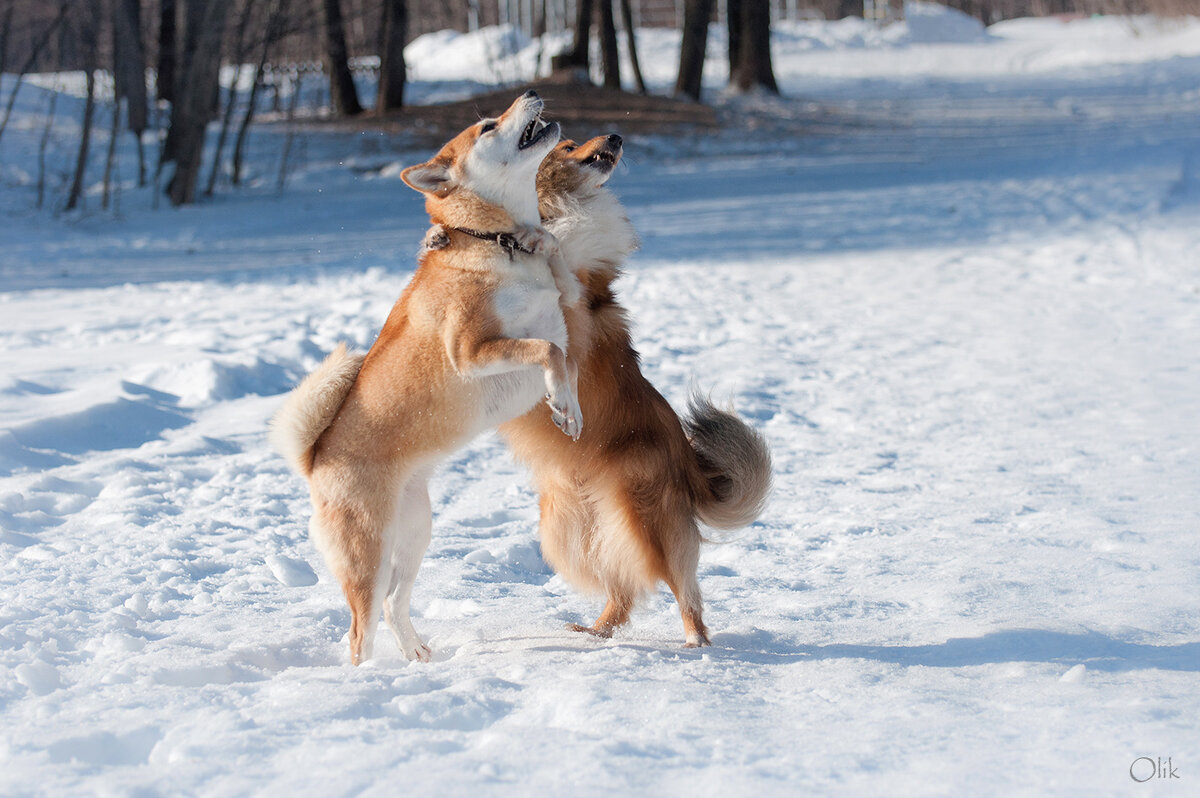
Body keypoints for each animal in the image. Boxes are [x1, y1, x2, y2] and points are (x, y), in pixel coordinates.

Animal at [268, 93, 585, 662]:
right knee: (361, 631)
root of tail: (314, 460)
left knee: (396, 604)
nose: (531, 94)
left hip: (416, 533)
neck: (496, 240)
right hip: (369, 557)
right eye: (487, 126)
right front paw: (561, 403)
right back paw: (368, 675)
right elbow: (546, 351)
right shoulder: (471, 350)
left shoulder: (553, 324)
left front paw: (567, 409)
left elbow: (563, 359)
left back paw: (417, 656)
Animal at [494, 135, 768, 648]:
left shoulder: (571, 308)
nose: (617, 138)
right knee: (622, 588)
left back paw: (696, 642)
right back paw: (594, 631)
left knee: (682, 586)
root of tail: (687, 462)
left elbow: (558, 267)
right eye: (568, 144)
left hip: (643, 521)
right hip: (570, 532)